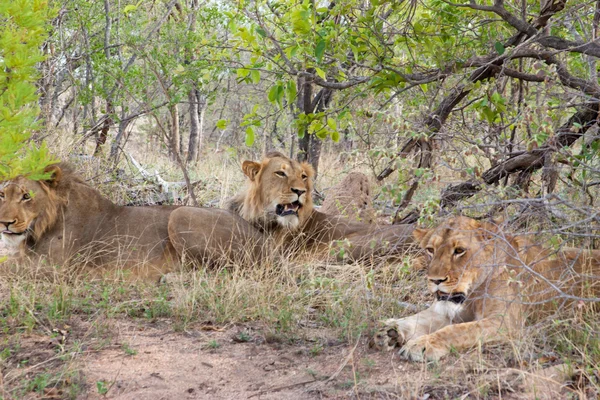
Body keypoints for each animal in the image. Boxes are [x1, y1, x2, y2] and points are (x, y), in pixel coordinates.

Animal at [0, 162, 262, 278]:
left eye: (26, 196)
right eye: (2, 194)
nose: (4, 223)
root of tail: (262, 237)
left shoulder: (53, 266)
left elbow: (7, 267)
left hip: (180, 215)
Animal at [370, 217, 600, 360]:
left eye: (459, 251)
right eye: (430, 250)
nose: (435, 280)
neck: (473, 292)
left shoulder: (504, 323)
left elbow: (456, 331)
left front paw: (422, 344)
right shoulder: (444, 310)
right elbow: (417, 318)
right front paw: (389, 331)